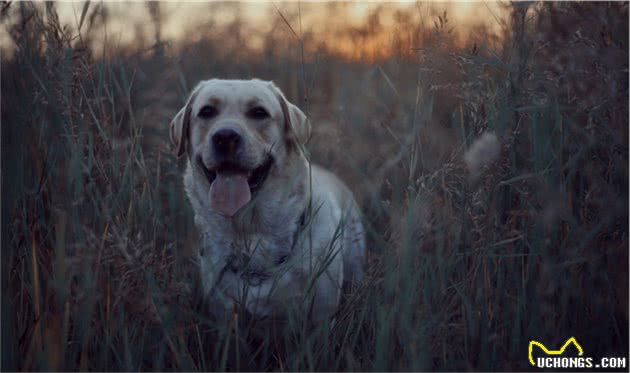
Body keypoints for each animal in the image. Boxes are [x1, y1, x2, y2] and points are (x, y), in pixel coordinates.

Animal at [170, 77, 368, 320]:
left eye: (259, 112)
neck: (250, 234)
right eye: (207, 111)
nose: (225, 137)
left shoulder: (321, 314)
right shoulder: (222, 311)